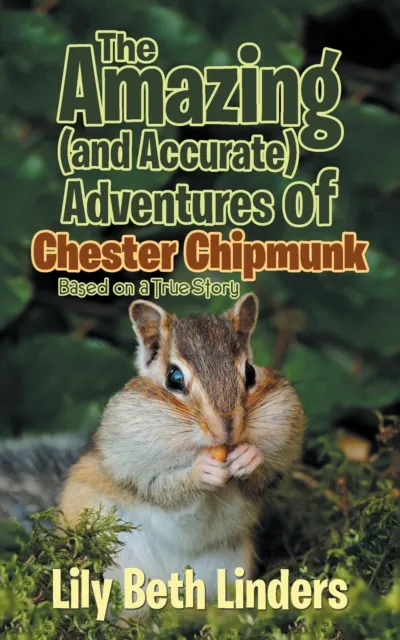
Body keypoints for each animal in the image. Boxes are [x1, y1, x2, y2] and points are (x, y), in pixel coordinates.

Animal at [0, 293, 306, 616]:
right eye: (174, 378)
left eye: (250, 372)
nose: (227, 429)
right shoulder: (133, 467)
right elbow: (162, 489)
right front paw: (201, 472)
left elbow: (263, 478)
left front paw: (249, 457)